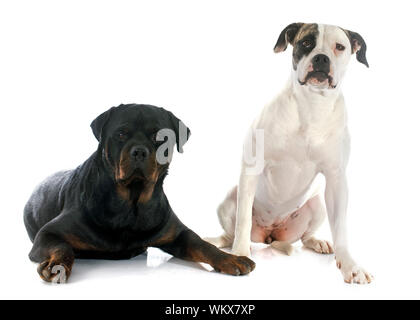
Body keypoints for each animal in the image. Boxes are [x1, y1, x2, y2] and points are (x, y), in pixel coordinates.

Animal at [24, 104, 254, 282]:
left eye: (159, 137)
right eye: (121, 134)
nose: (139, 151)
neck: (131, 203)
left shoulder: (177, 233)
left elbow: (202, 245)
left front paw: (230, 258)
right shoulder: (47, 234)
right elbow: (63, 247)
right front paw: (56, 266)